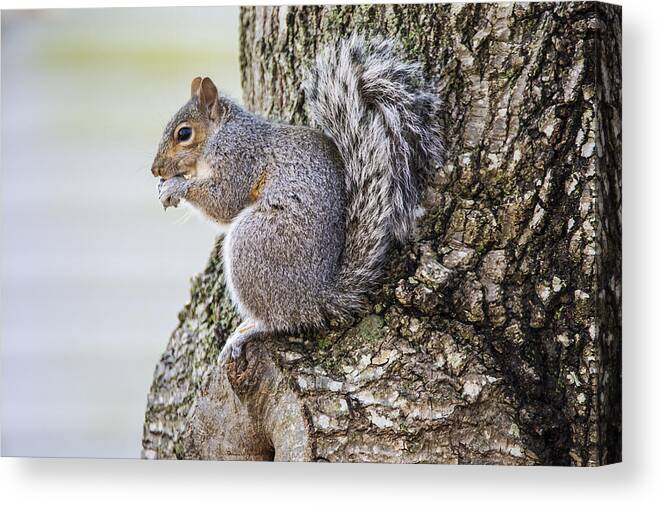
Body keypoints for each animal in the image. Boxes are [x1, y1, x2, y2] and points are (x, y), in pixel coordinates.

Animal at [150, 35, 444, 360]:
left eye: (184, 133)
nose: (154, 170)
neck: (220, 135)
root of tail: (317, 297)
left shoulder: (239, 158)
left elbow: (225, 200)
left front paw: (175, 187)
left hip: (252, 242)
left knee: (278, 320)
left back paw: (249, 330)